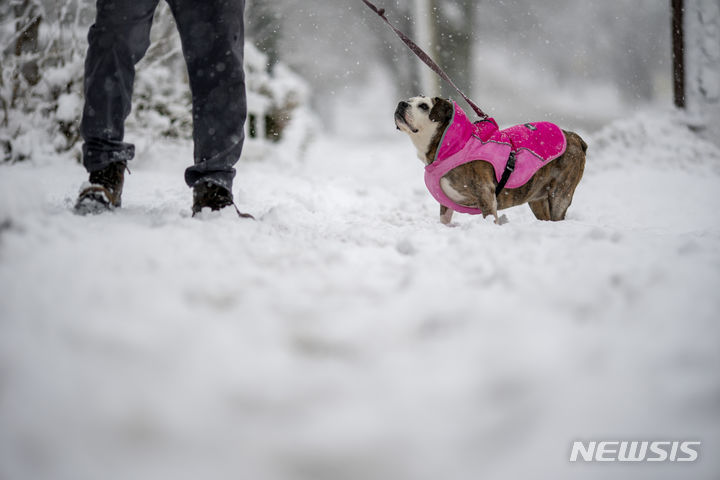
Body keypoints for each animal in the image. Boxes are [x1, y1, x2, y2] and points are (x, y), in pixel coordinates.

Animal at [396, 97, 588, 227]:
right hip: (538, 198)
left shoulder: (485, 193)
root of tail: (573, 136)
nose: (401, 103)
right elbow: (444, 218)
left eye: (423, 106)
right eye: (409, 100)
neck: (453, 146)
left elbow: (489, 215)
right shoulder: (445, 204)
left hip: (560, 193)